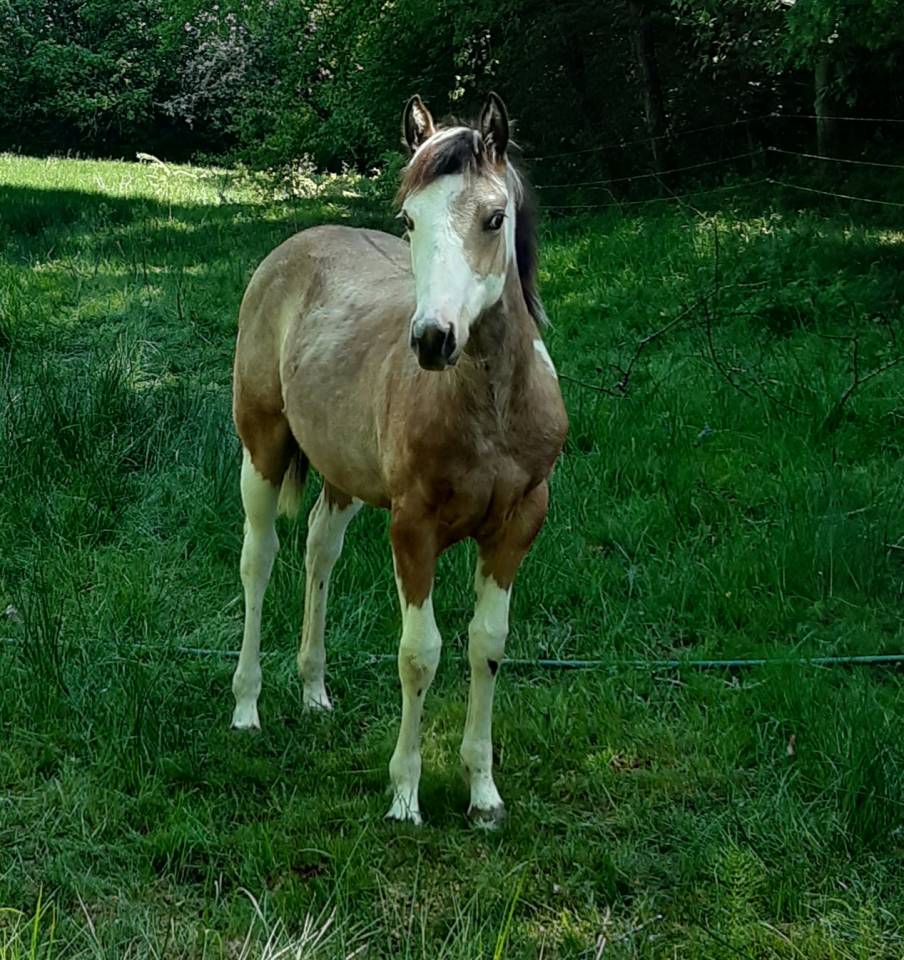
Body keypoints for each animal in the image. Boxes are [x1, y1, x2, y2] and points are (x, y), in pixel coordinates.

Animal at [230, 92, 567, 826]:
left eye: (494, 218)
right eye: (410, 219)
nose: (433, 339)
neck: (491, 409)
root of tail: (295, 246)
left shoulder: (517, 526)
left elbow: (487, 644)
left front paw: (483, 793)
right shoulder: (413, 527)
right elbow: (420, 653)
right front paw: (405, 795)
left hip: (343, 477)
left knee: (319, 550)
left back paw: (314, 691)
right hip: (261, 447)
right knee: (259, 558)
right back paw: (246, 705)